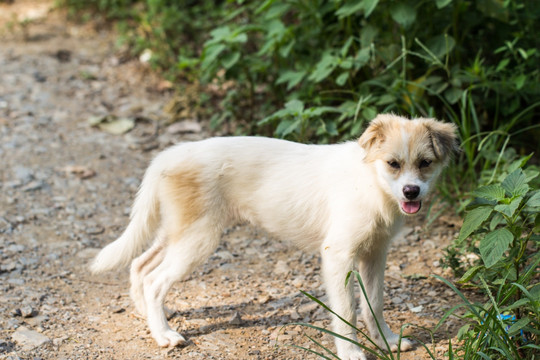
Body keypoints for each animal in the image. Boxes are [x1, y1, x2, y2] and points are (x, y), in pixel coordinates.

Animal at [92, 114, 456, 358]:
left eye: (425, 163)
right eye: (393, 164)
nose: (411, 192)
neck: (370, 182)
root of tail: (170, 154)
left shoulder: (375, 255)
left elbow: (374, 304)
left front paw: (387, 341)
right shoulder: (338, 256)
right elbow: (347, 313)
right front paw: (352, 353)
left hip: (176, 232)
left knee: (140, 267)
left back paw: (149, 319)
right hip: (197, 239)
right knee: (155, 280)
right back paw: (165, 334)